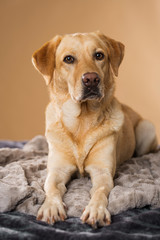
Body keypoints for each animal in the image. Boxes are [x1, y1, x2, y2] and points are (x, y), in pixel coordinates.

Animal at [31, 31, 158, 228]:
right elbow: (51, 188)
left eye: (99, 55)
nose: (91, 79)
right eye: (68, 59)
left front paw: (96, 211)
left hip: (147, 128)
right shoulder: (57, 171)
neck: (82, 120)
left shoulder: (102, 172)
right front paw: (51, 207)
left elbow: (100, 191)